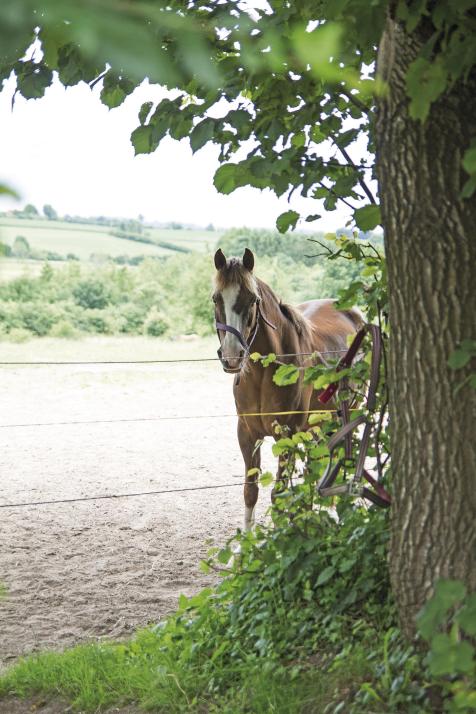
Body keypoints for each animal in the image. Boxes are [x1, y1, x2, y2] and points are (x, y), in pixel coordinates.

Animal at [213, 246, 364, 528]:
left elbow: (280, 493)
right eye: (216, 298)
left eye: (252, 299)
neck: (265, 373)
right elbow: (250, 490)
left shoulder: (287, 435)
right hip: (317, 424)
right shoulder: (247, 433)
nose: (232, 356)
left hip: (345, 415)